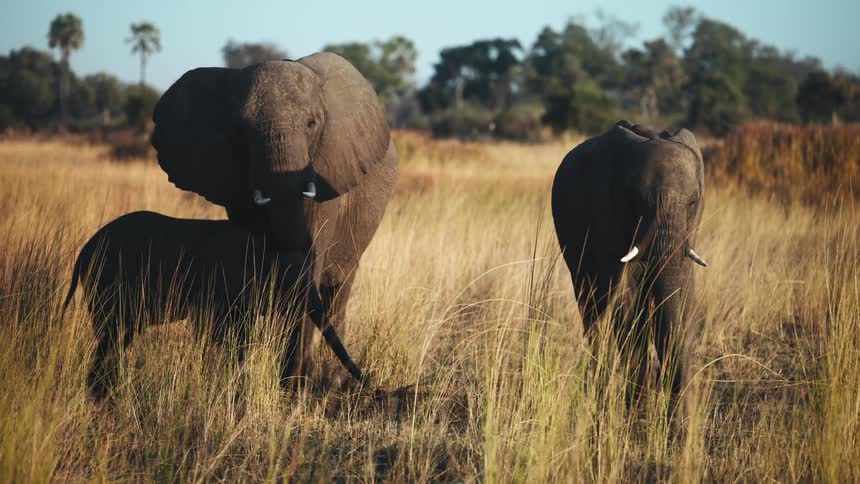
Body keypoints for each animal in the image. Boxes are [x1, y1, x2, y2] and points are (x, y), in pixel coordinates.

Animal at [63, 211, 366, 399]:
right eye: (290, 278)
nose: (368, 380)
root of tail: (83, 252)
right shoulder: (221, 286)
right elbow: (224, 335)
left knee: (116, 339)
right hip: (105, 280)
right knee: (111, 336)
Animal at [149, 52, 397, 380]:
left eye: (311, 123)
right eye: (240, 130)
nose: (368, 378)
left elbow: (308, 273)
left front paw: (293, 383)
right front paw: (239, 372)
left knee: (337, 291)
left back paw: (333, 378)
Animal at [551, 120, 708, 404]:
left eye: (692, 202)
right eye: (637, 202)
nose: (674, 404)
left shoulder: (690, 231)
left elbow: (682, 294)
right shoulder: (604, 209)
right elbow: (625, 297)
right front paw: (637, 407)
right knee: (593, 309)